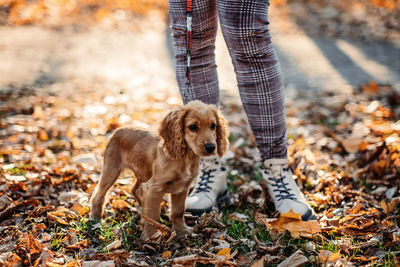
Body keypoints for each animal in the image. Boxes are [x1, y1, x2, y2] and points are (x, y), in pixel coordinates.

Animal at [90, 100, 228, 239]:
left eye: (213, 126)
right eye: (193, 127)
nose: (211, 147)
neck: (185, 158)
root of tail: (117, 130)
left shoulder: (182, 188)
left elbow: (178, 211)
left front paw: (181, 231)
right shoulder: (154, 187)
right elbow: (153, 215)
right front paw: (151, 237)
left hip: (144, 173)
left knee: (135, 190)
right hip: (111, 169)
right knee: (99, 194)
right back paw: (96, 219)